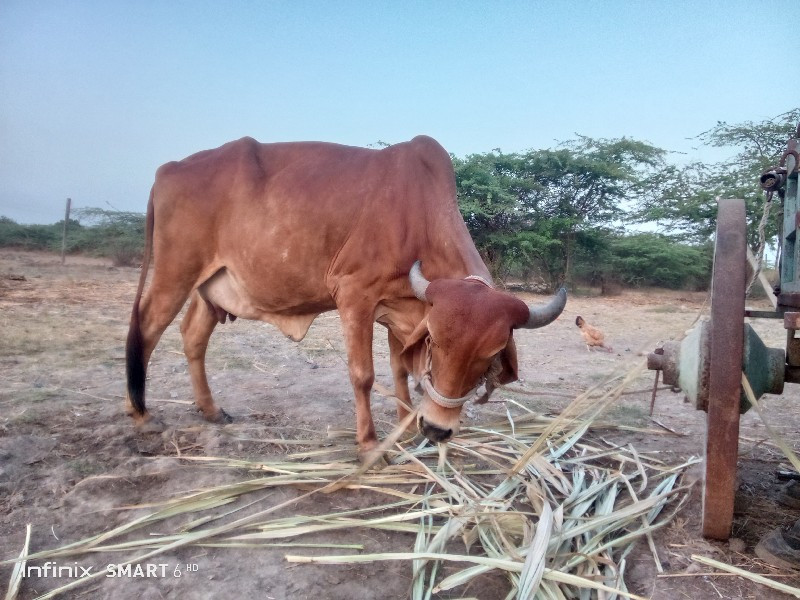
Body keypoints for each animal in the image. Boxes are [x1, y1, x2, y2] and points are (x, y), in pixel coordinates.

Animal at [125, 134, 564, 458]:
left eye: (491, 355)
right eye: (437, 342)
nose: (438, 429)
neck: (417, 217)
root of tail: (168, 169)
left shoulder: (402, 311)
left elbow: (400, 370)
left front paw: (406, 427)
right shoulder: (355, 297)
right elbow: (364, 375)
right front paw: (369, 445)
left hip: (210, 285)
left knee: (193, 336)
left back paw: (211, 411)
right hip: (175, 272)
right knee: (146, 329)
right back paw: (142, 414)